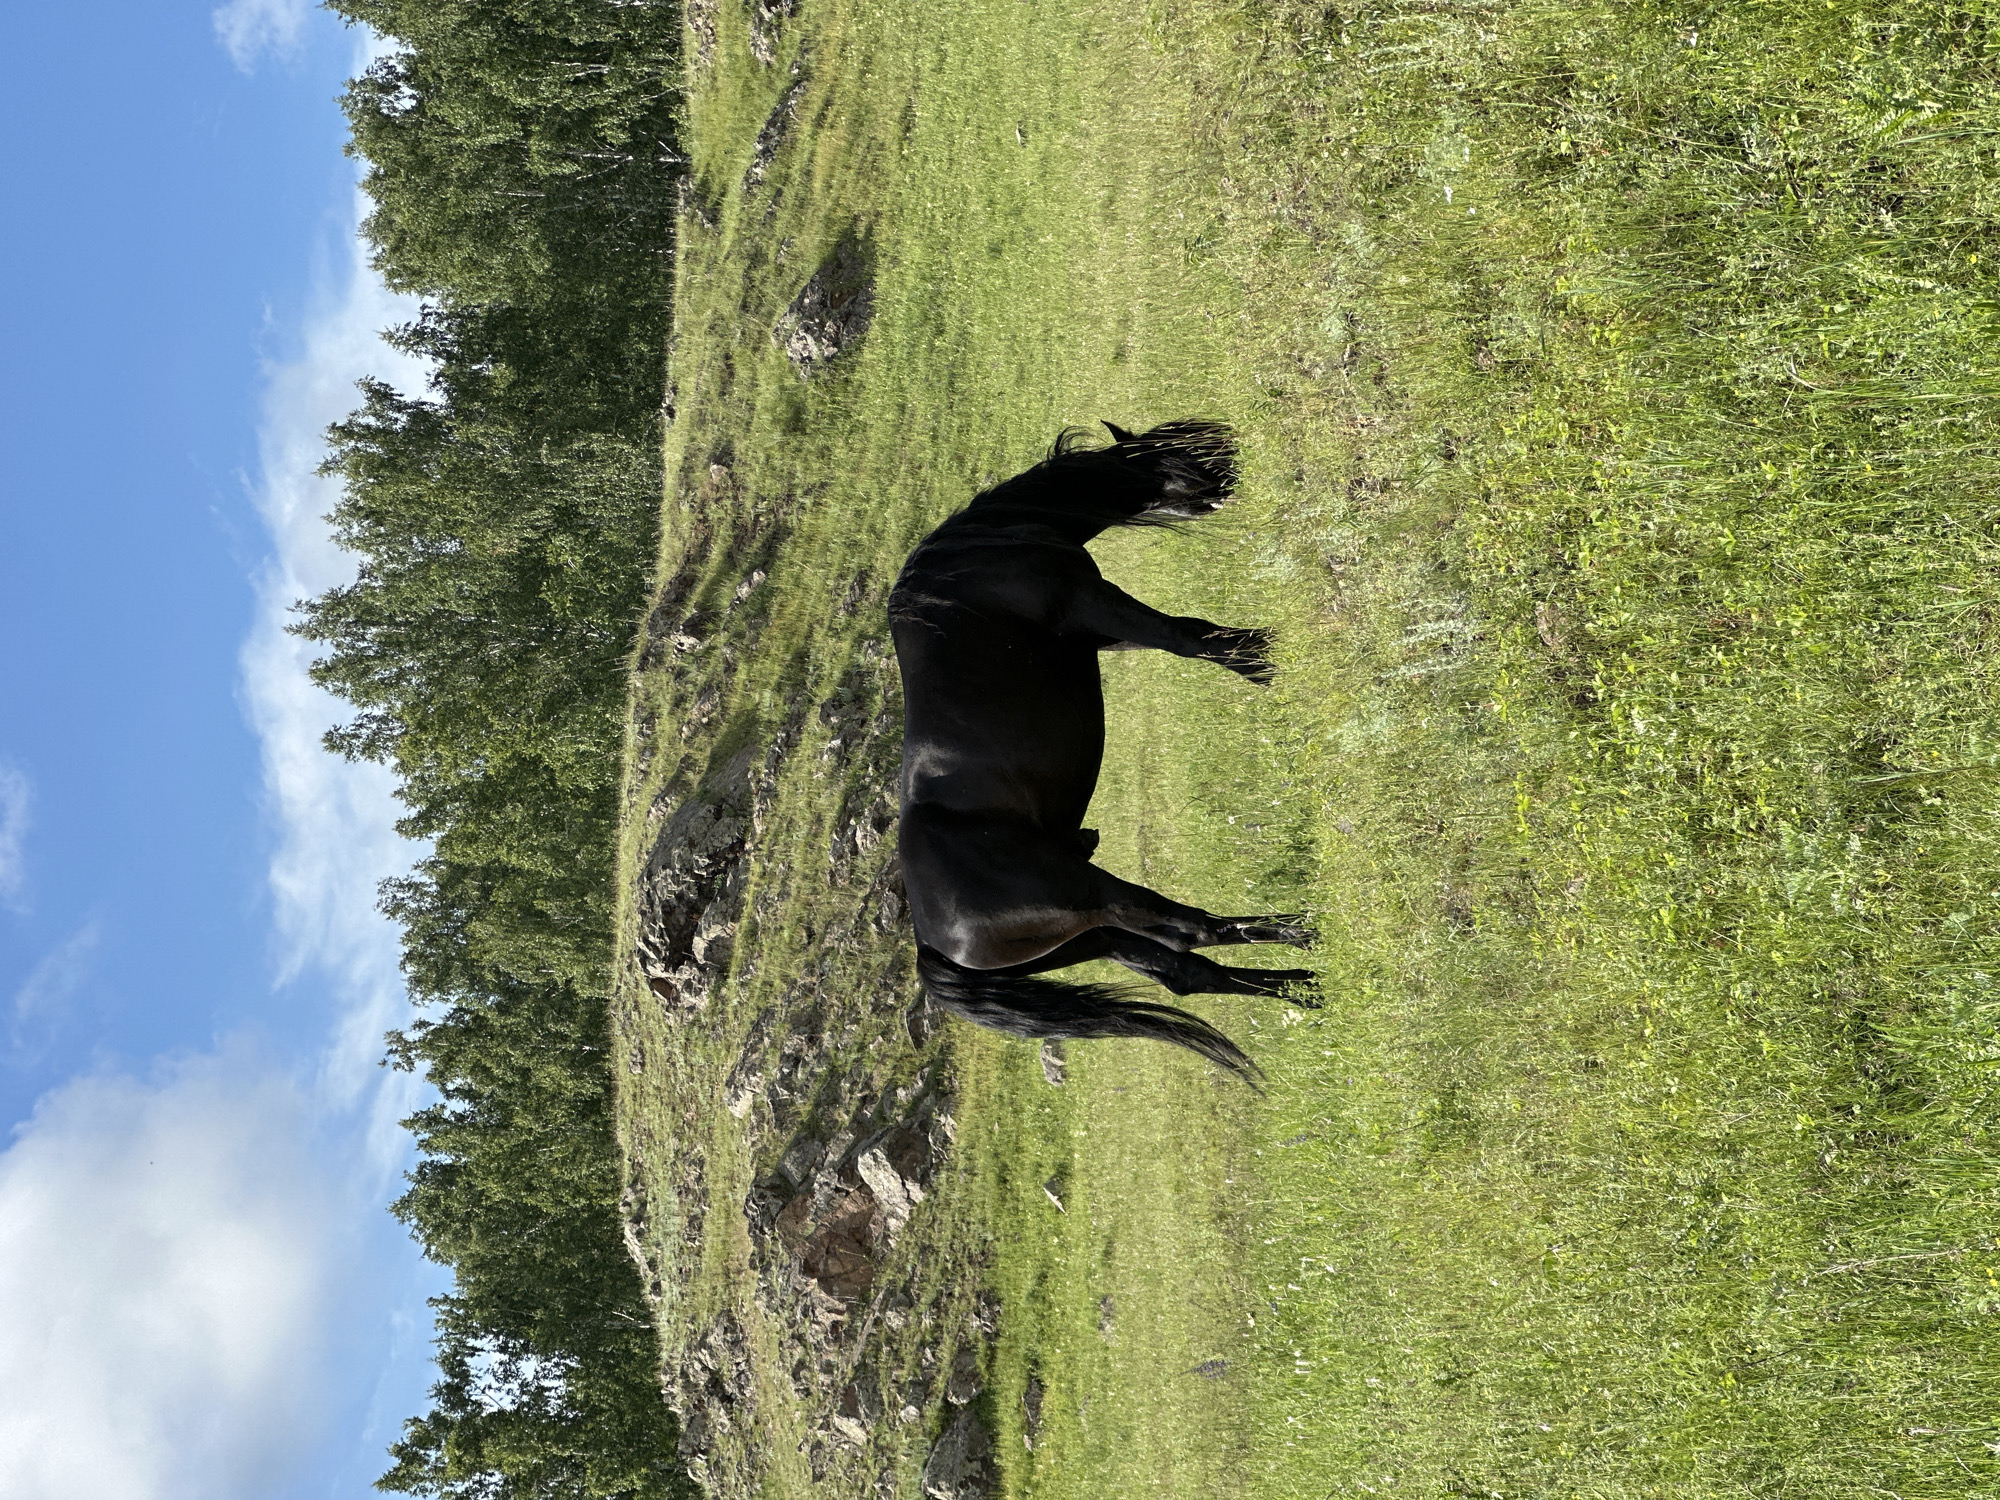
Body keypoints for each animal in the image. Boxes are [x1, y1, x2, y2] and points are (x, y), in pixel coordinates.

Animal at [888, 419, 1315, 1086]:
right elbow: (1191, 639)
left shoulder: (1104, 632)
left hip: (1090, 936)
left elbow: (1198, 640)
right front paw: (1273, 659)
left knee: (1185, 969)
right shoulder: (1094, 602)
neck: (982, 553)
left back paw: (1303, 986)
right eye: (1177, 453)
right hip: (1094, 896)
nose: (1230, 461)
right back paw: (1302, 937)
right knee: (1192, 932)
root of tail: (932, 940)